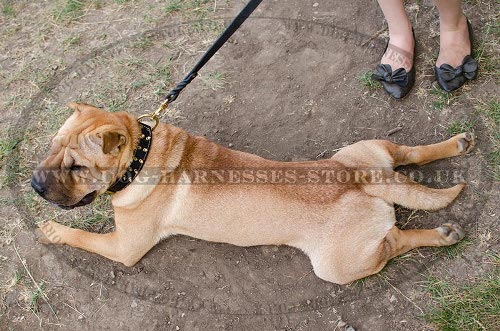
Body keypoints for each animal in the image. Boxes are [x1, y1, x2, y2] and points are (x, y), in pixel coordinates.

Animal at [33, 103, 474, 286]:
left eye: (76, 167)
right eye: (51, 146)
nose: (36, 184)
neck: (142, 156)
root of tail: (360, 177)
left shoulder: (124, 247)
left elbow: (83, 237)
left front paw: (53, 232)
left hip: (336, 264)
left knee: (394, 241)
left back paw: (442, 235)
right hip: (366, 151)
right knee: (408, 153)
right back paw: (456, 144)